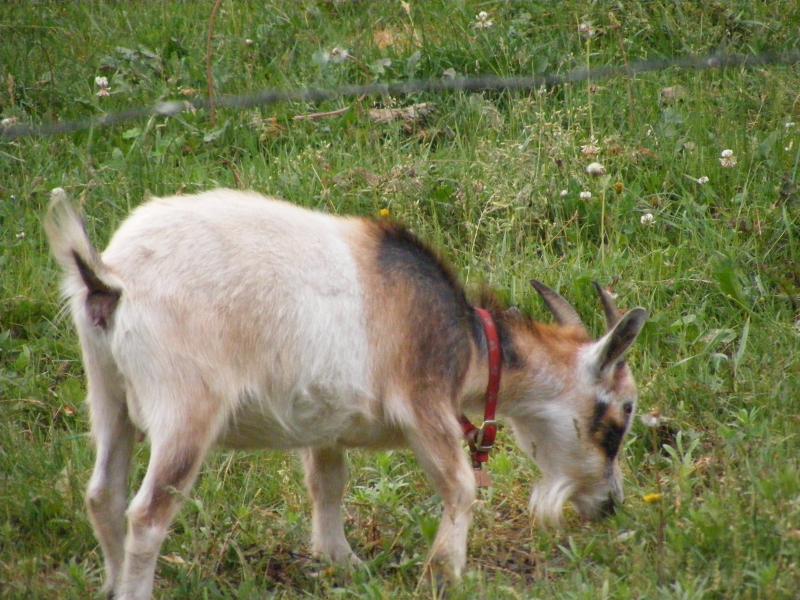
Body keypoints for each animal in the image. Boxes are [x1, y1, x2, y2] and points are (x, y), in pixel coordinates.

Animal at [45, 187, 648, 599]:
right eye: (620, 415)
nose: (610, 505)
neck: (473, 346)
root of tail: (112, 278)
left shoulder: (324, 423)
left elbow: (327, 483)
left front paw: (342, 562)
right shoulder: (424, 402)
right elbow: (461, 486)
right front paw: (444, 573)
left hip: (108, 393)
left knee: (103, 493)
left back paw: (110, 583)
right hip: (186, 411)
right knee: (147, 514)